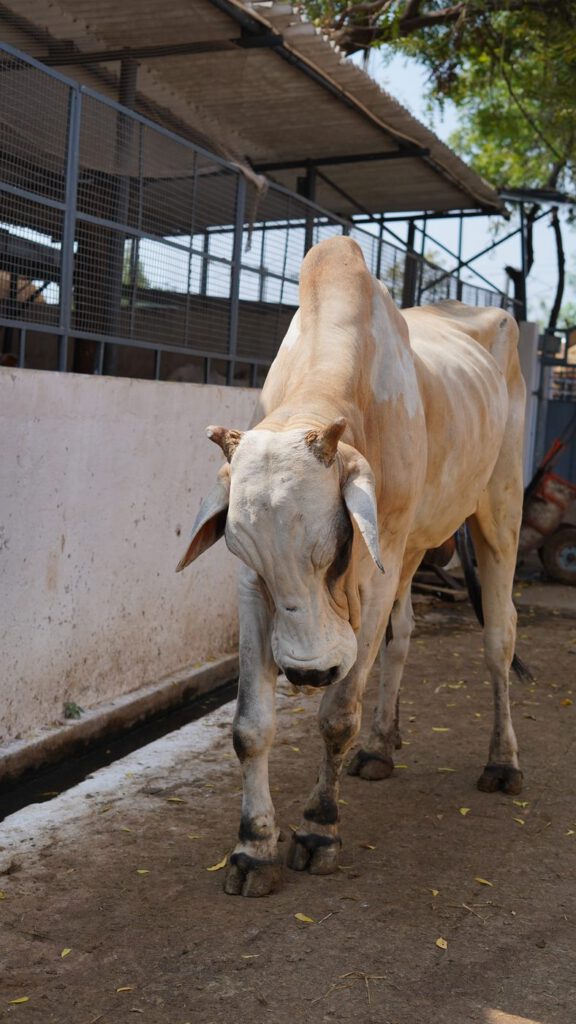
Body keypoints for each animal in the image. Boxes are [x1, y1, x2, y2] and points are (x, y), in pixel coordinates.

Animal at [176, 236, 526, 897]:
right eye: (243, 551)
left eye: (334, 548)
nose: (308, 672)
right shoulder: (253, 587)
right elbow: (250, 725)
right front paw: (252, 848)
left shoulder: (374, 571)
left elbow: (338, 715)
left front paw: (318, 830)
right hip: (412, 546)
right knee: (404, 635)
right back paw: (381, 745)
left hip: (498, 507)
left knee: (499, 638)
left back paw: (503, 761)